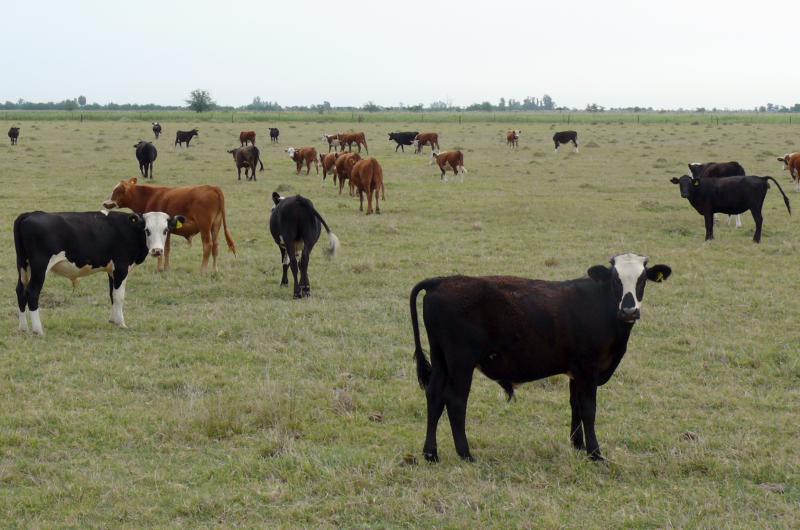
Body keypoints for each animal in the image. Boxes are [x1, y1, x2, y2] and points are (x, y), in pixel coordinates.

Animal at [15, 207, 184, 334]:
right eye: (147, 230)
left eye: (165, 230)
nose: (157, 250)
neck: (130, 229)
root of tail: (30, 214)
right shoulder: (121, 267)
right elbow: (119, 296)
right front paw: (121, 323)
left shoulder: (111, 271)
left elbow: (112, 295)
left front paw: (113, 320)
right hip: (40, 267)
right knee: (32, 293)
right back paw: (38, 330)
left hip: (23, 266)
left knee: (20, 291)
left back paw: (23, 328)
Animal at [101, 177, 236, 272]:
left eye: (117, 191)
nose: (105, 203)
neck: (150, 197)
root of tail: (212, 187)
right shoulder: (168, 231)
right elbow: (166, 249)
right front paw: (165, 268)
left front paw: (160, 268)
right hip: (215, 226)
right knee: (216, 246)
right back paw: (214, 270)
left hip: (205, 227)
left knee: (208, 245)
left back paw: (203, 270)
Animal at [410, 251, 672, 458]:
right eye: (615, 280)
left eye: (642, 280)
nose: (629, 311)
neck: (602, 306)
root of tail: (441, 281)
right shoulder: (588, 368)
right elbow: (589, 409)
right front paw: (595, 453)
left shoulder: (576, 370)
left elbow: (575, 405)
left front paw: (578, 445)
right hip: (460, 362)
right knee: (455, 401)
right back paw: (465, 454)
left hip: (441, 359)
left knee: (434, 397)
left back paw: (430, 453)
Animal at [664, 174, 792, 242]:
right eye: (680, 183)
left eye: (690, 183)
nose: (684, 194)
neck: (700, 189)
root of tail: (761, 178)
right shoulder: (711, 212)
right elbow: (711, 224)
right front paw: (711, 238)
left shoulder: (707, 210)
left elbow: (708, 224)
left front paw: (707, 239)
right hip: (758, 205)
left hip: (754, 206)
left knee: (759, 220)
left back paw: (756, 240)